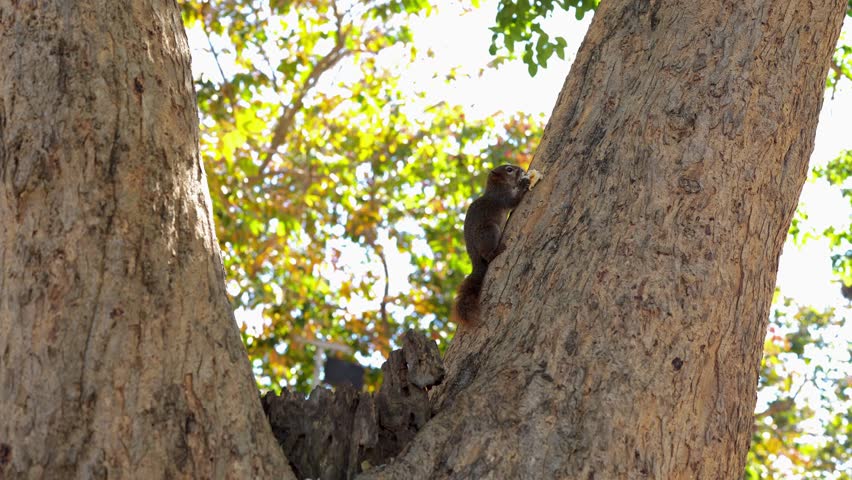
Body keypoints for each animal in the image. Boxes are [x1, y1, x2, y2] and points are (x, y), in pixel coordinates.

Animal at [452, 164, 530, 326]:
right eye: (509, 169)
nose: (522, 169)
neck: (497, 186)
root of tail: (474, 259)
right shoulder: (502, 198)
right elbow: (514, 200)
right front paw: (523, 183)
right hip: (489, 231)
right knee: (487, 256)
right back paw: (497, 251)